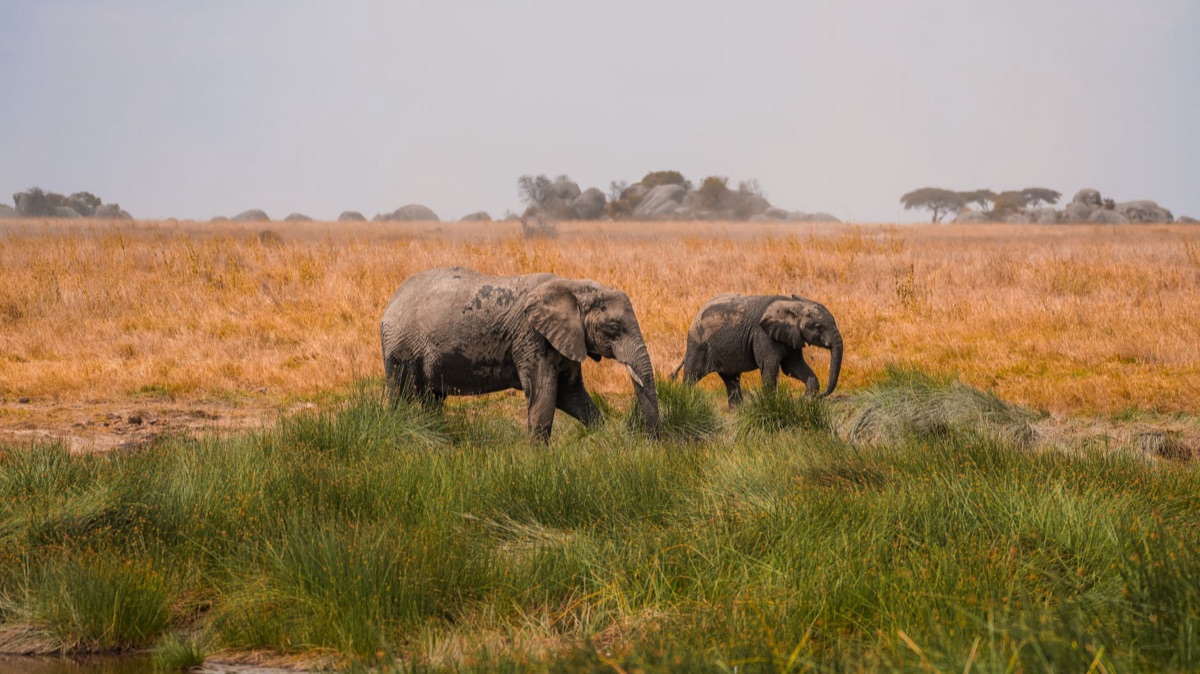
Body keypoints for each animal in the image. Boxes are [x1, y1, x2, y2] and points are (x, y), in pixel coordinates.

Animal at [380, 267, 661, 441]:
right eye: (613, 328)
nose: (652, 444)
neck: (573, 286)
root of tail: (390, 302)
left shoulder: (565, 339)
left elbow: (571, 395)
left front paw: (601, 438)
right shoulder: (531, 337)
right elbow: (544, 394)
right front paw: (538, 461)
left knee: (432, 398)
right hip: (401, 347)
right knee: (402, 394)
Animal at [672, 293, 843, 405]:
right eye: (818, 326)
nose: (822, 396)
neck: (792, 305)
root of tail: (696, 315)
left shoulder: (791, 336)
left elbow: (793, 367)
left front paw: (807, 401)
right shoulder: (763, 335)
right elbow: (770, 367)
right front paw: (770, 404)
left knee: (731, 379)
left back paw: (738, 411)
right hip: (698, 344)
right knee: (692, 375)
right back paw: (686, 402)